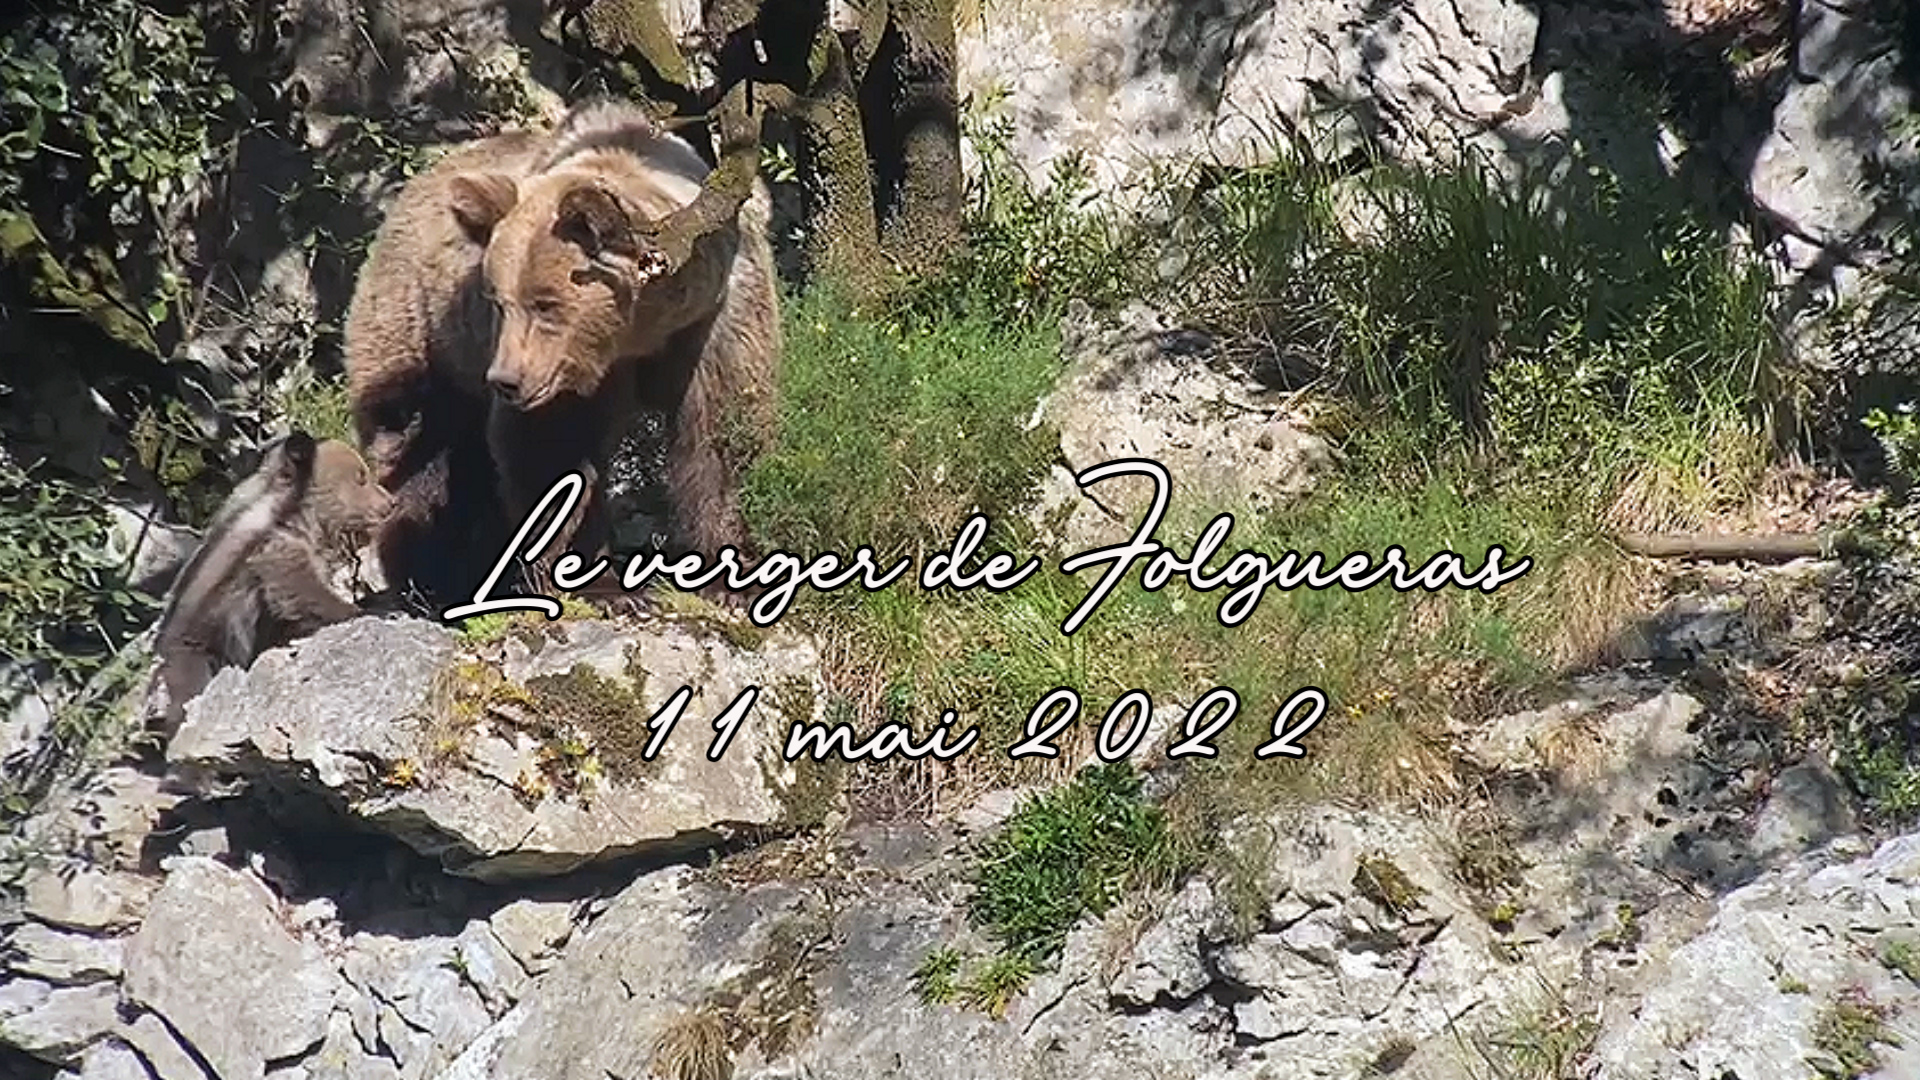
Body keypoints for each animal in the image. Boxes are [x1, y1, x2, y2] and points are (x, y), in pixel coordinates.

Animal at [349, 101, 783, 611]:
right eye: (499, 299)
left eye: (546, 303)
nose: (506, 380)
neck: (638, 331)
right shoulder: (563, 371)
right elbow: (556, 451)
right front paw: (598, 581)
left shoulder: (712, 317)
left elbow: (721, 432)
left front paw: (734, 575)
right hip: (424, 334)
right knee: (420, 445)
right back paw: (432, 579)